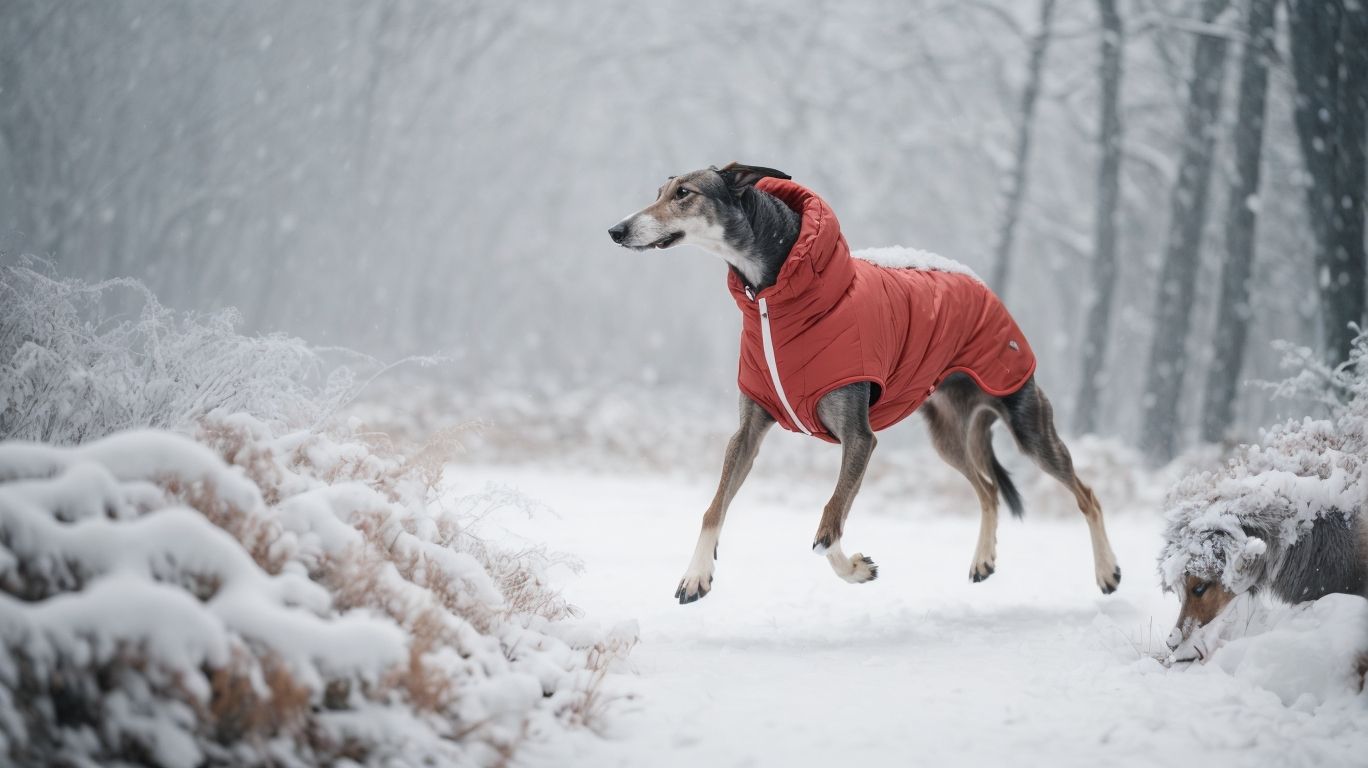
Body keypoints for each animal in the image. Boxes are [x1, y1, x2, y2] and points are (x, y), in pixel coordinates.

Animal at [610, 162, 1121, 605]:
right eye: (660, 191)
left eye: (683, 193)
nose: (617, 230)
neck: (773, 298)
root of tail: (985, 288)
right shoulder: (748, 431)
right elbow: (714, 507)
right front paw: (697, 574)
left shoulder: (858, 437)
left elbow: (828, 524)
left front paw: (855, 568)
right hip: (947, 437)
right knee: (989, 490)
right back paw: (984, 560)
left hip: (1026, 419)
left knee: (1087, 494)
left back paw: (1107, 571)